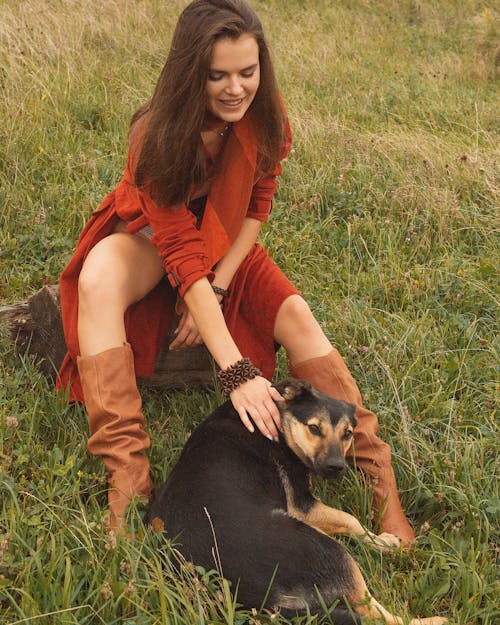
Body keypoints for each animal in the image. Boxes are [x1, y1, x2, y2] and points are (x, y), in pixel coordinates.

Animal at [147, 378, 446, 624]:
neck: (281, 420)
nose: (336, 467)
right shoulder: (302, 506)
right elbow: (352, 520)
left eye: (347, 434)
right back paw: (432, 620)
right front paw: (382, 542)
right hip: (332, 552)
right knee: (375, 612)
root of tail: (258, 598)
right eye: (313, 428)